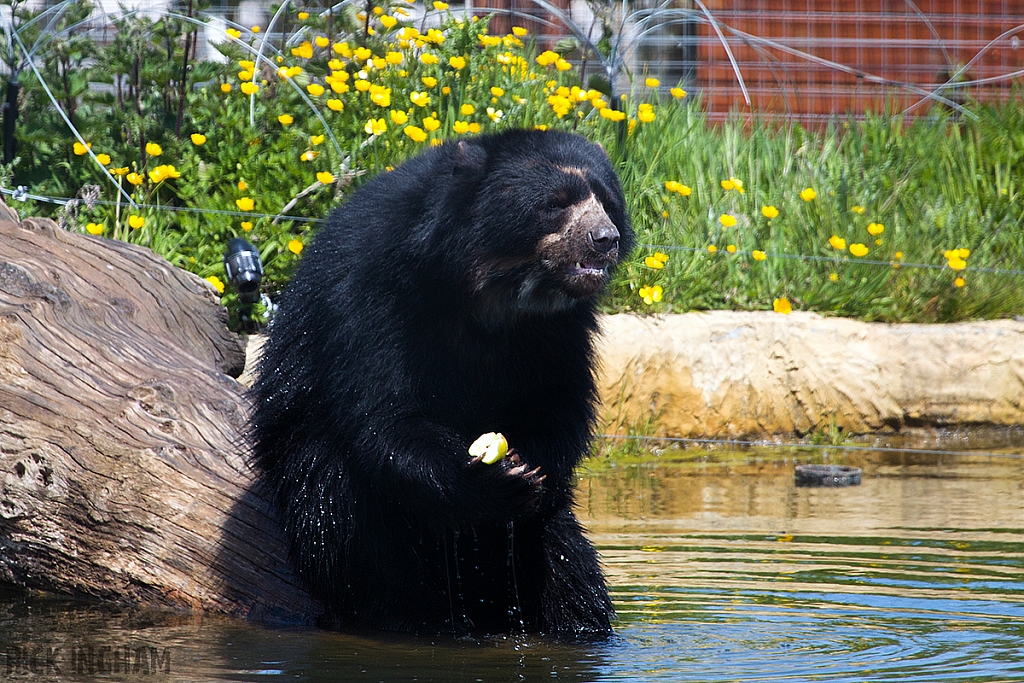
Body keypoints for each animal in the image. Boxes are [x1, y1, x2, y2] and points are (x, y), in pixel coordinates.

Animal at [247, 129, 630, 643]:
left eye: (607, 202)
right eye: (555, 203)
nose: (605, 240)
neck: (490, 291)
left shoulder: (561, 328)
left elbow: (558, 407)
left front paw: (529, 470)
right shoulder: (369, 290)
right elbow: (385, 412)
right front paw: (493, 479)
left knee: (567, 561)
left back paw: (577, 623)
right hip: (312, 484)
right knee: (340, 519)